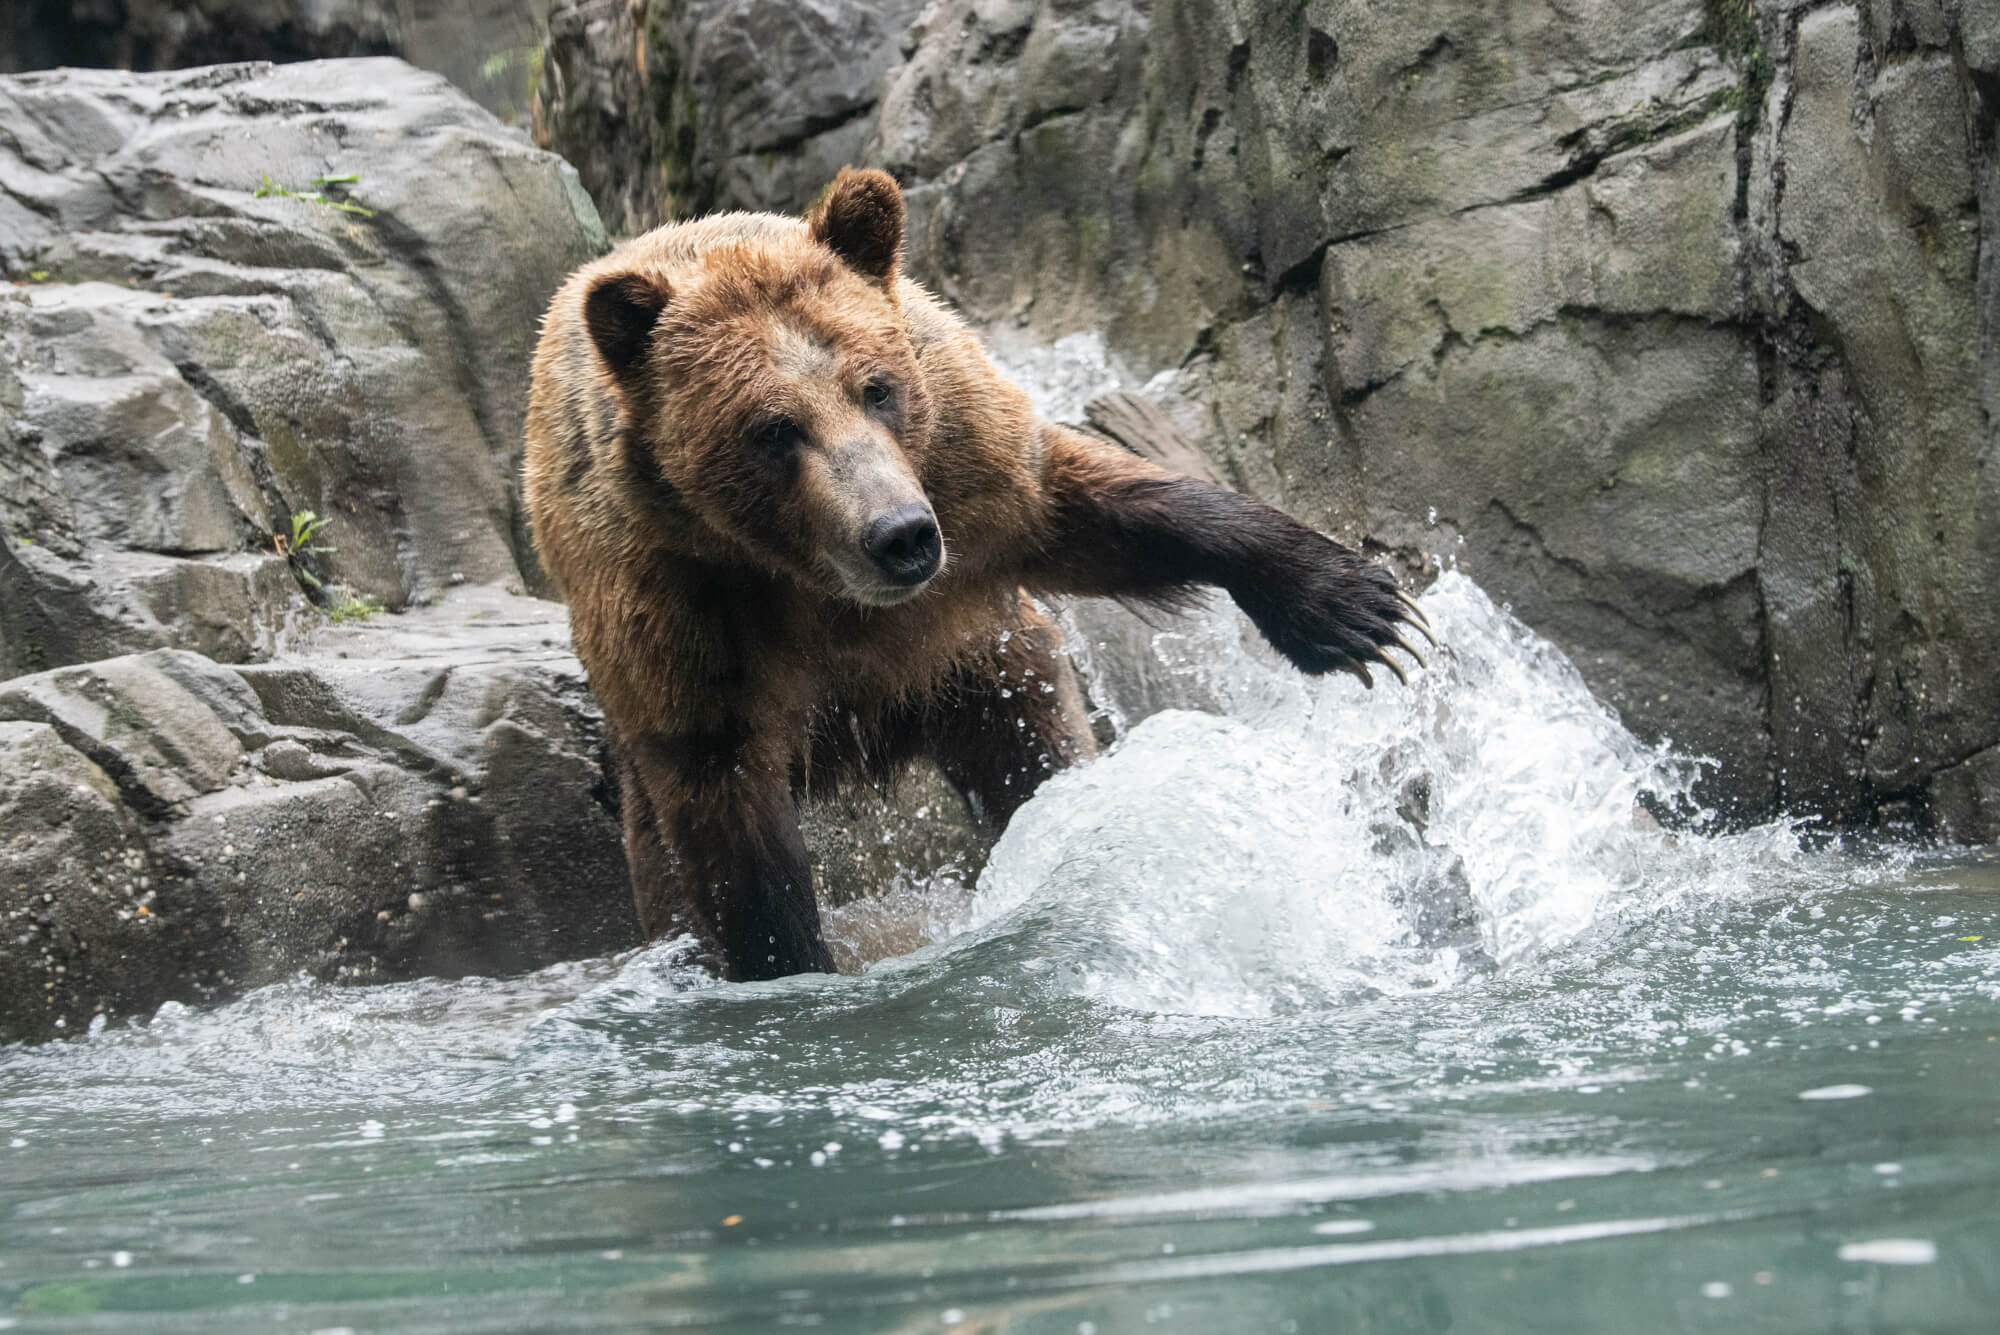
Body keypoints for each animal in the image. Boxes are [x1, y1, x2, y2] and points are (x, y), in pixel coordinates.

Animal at [523, 168, 1427, 982]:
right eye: (773, 428)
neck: (809, 580)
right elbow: (735, 836)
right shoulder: (680, 609)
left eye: (877, 387)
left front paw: (1356, 608)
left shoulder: (962, 462)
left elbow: (1091, 504)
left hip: (984, 668)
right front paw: (790, 964)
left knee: (1033, 755)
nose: (900, 536)